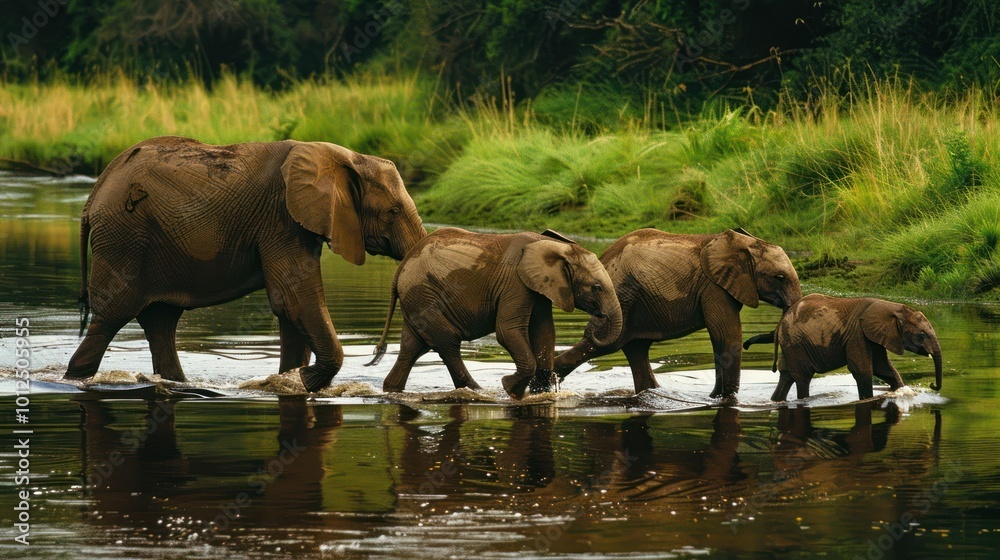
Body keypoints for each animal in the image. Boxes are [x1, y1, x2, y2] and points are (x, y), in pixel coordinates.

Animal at [66, 136, 426, 392]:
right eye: (393, 211)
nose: (375, 358)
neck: (344, 156)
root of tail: (93, 195)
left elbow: (291, 306)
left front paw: (291, 379)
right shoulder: (281, 219)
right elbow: (296, 299)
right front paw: (306, 379)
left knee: (160, 321)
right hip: (123, 240)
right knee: (111, 318)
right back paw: (75, 380)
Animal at [366, 228, 623, 398]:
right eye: (596, 287)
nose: (598, 322)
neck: (553, 245)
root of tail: (399, 271)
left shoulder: (538, 287)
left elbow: (544, 331)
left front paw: (541, 392)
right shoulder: (515, 283)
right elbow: (507, 331)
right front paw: (510, 388)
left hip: (418, 300)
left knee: (413, 348)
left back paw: (391, 390)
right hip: (423, 296)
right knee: (448, 344)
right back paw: (479, 392)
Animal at [550, 228, 801, 398]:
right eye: (780, 277)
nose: (751, 347)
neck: (744, 242)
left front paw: (714, 398)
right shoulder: (714, 288)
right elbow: (726, 337)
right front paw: (720, 399)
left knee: (636, 350)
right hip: (619, 298)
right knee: (602, 343)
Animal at [743, 293, 943, 401]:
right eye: (921, 336)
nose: (932, 385)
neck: (892, 307)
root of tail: (779, 325)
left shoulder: (874, 337)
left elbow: (884, 369)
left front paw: (901, 392)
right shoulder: (857, 335)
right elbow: (862, 370)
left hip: (791, 346)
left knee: (787, 376)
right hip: (795, 343)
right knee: (802, 378)